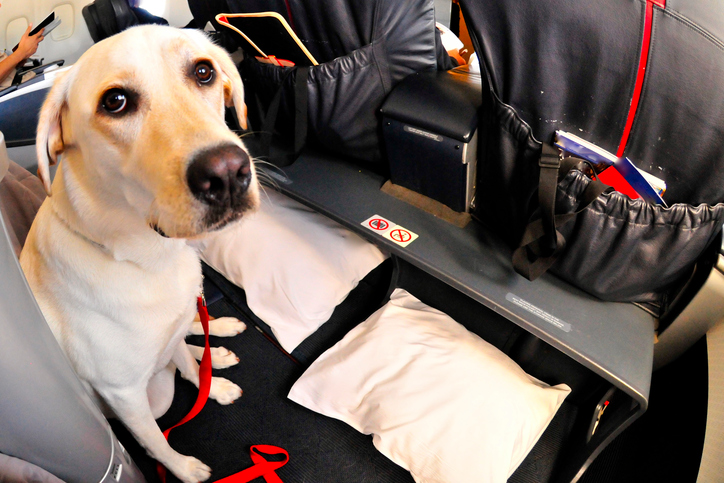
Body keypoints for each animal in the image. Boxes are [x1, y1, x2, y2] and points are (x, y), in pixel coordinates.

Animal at [19, 26, 260, 483]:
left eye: (204, 71)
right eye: (115, 101)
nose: (227, 173)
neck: (146, 258)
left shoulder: (173, 323)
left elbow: (189, 365)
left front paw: (214, 386)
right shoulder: (125, 395)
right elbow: (154, 441)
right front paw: (183, 468)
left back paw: (217, 342)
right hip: (154, 396)